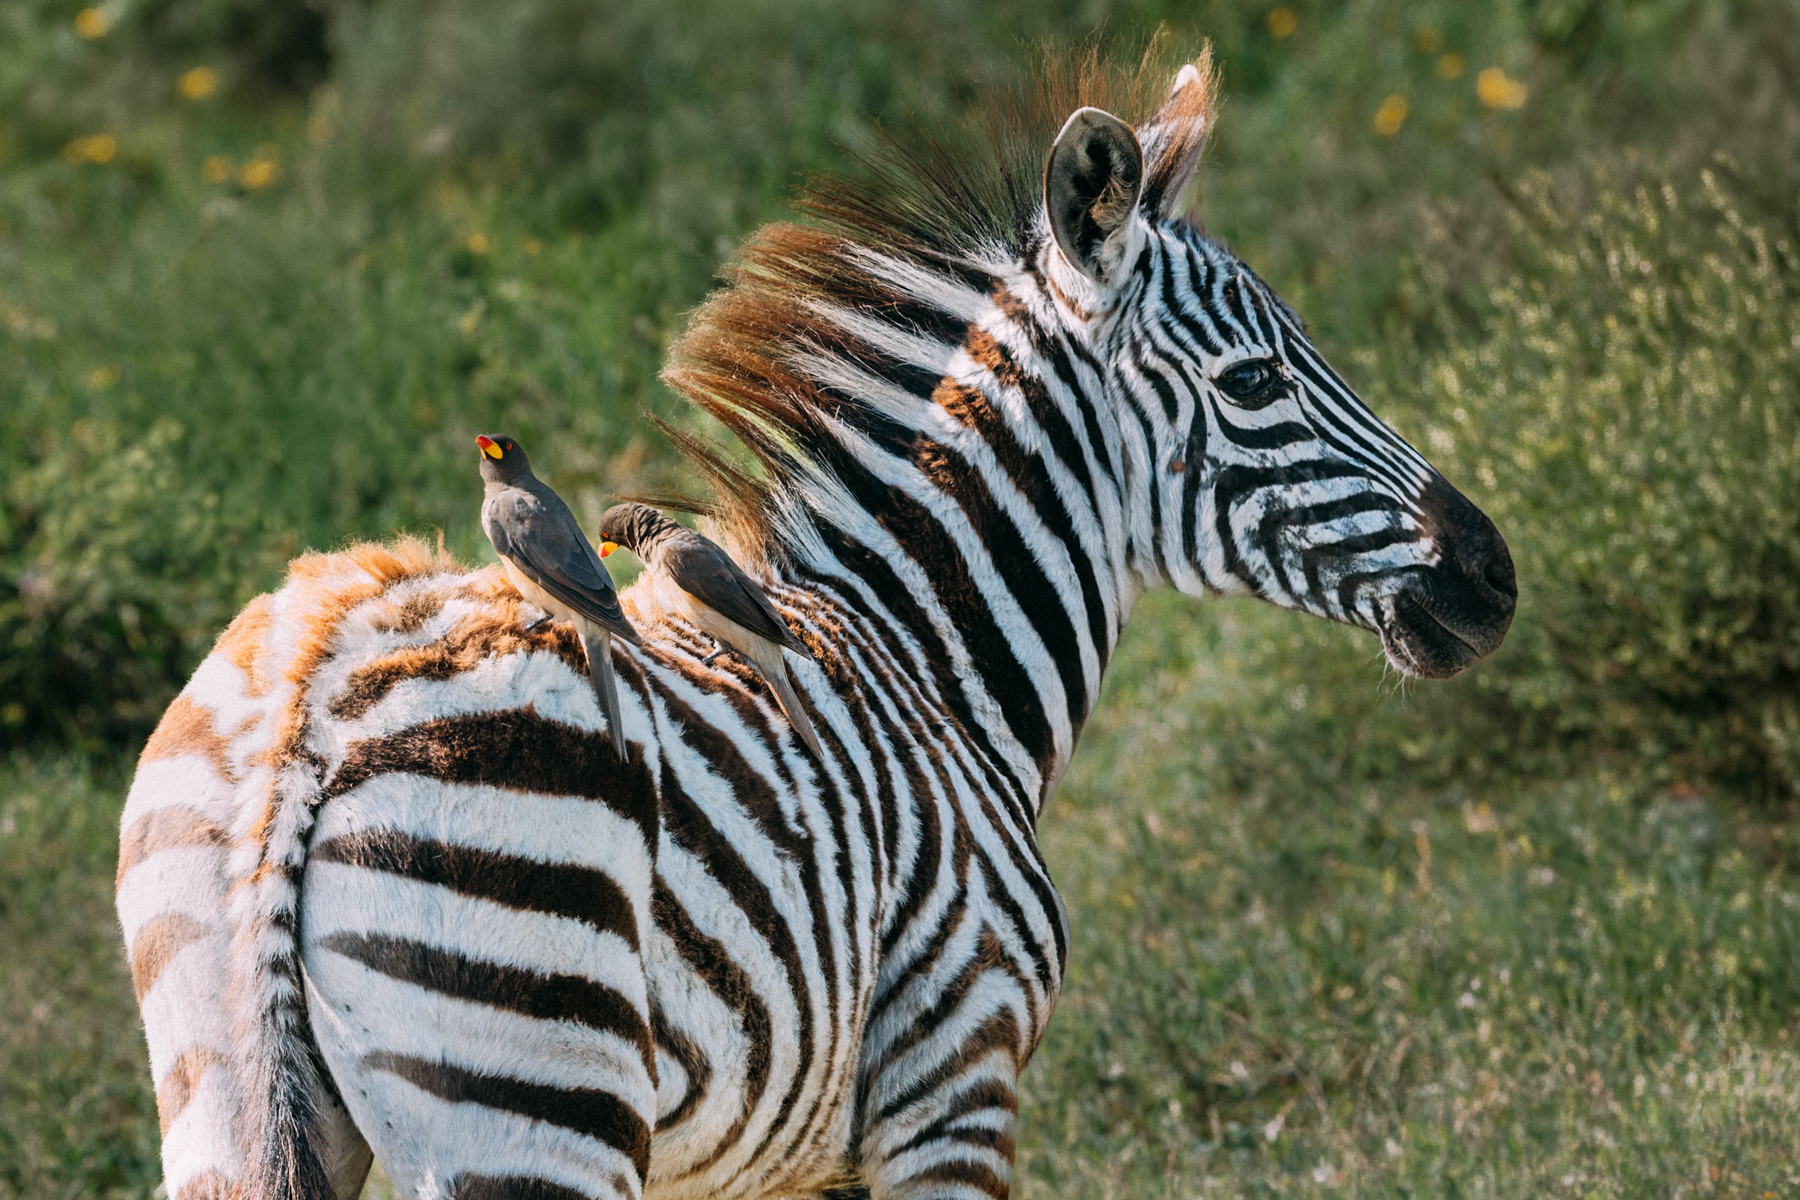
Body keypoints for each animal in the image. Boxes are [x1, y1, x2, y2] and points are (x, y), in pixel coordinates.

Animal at [116, 48, 1514, 1200]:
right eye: (1256, 381)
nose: (1492, 576)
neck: (923, 653)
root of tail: (312, 699)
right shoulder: (956, 1072)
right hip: (532, 1096)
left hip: (226, 1096)